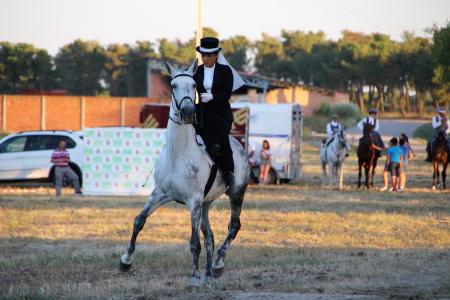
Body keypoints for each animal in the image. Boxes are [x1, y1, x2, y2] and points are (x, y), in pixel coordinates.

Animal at [119, 59, 251, 288]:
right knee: (210, 236)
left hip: (235, 194)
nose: (189, 111)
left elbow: (194, 243)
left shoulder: (193, 202)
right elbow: (139, 221)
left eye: (194, 86)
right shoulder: (161, 194)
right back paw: (208, 276)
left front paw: (194, 278)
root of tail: (238, 145)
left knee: (233, 227)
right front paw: (125, 261)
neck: (178, 154)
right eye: (173, 86)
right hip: (206, 203)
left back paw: (217, 265)